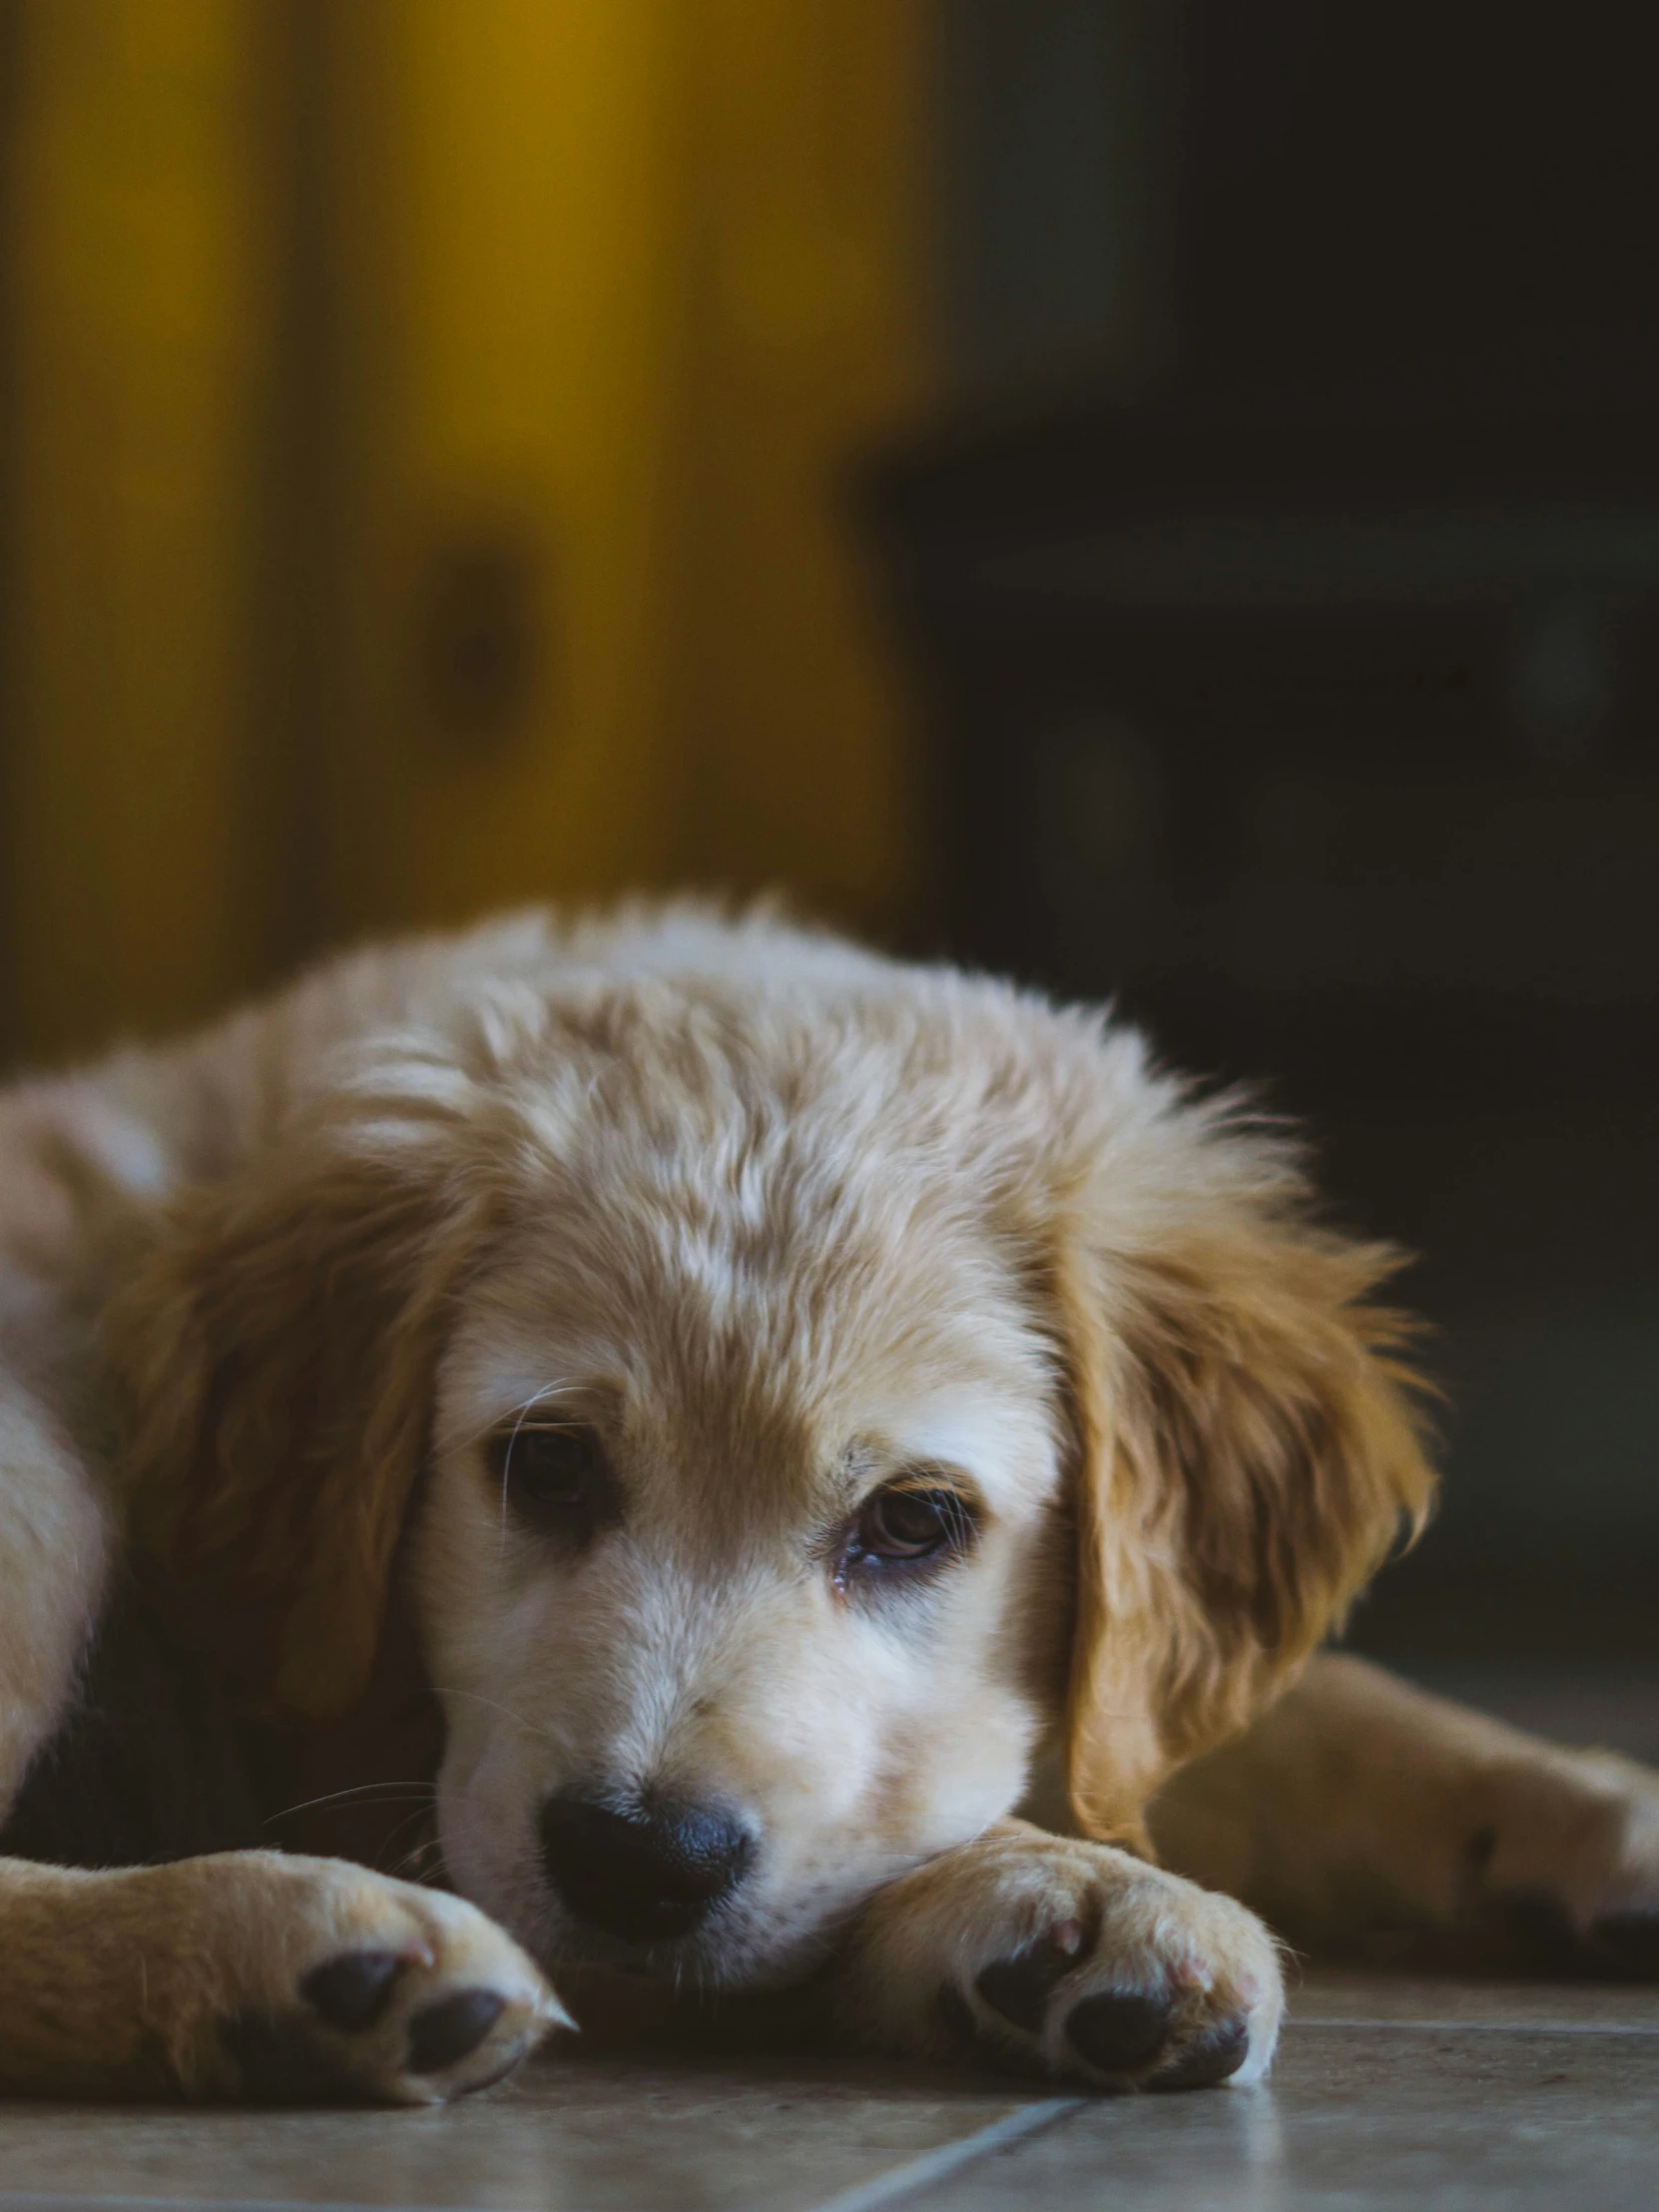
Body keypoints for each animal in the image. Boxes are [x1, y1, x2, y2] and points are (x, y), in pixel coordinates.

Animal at [0, 902, 1654, 2105]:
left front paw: (1584, 1809)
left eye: (913, 1522)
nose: (636, 1861)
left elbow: (1312, 1713)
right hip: (51, 1476)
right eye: (547, 1464)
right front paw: (1054, 1899)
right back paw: (295, 1958)